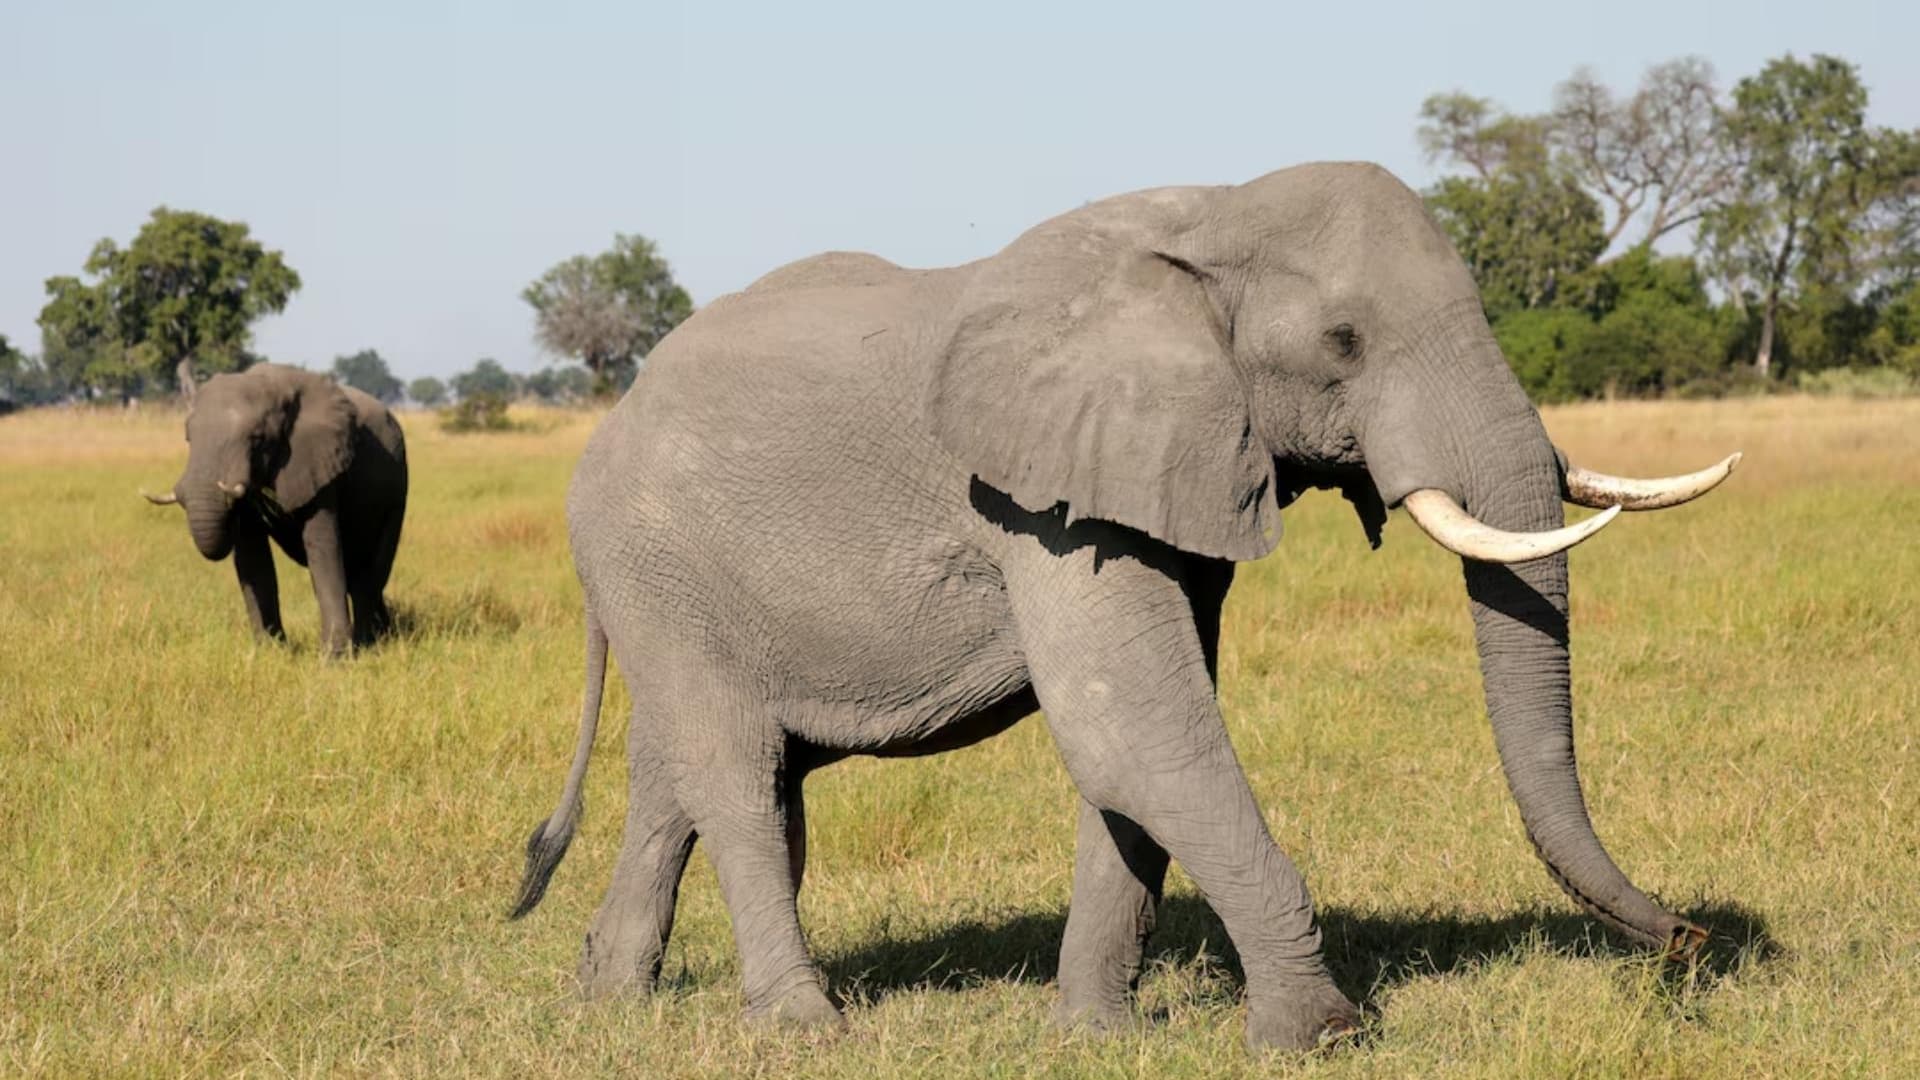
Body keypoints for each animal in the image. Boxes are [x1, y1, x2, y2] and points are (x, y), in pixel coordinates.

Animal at [142, 363, 408, 658]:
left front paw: (334, 658)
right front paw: (269, 654)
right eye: (188, 438)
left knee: (371, 572)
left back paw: (371, 643)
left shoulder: (320, 461)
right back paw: (384, 635)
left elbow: (323, 549)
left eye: (257, 439)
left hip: (397, 491)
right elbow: (253, 558)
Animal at [508, 162, 1740, 1051]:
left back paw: (609, 1002)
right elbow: (1134, 729)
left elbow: (1141, 750)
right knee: (735, 774)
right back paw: (806, 1032)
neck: (1212, 215)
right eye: (1343, 343)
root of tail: (609, 420)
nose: (1692, 942)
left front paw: (1090, 1036)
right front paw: (1317, 1037)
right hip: (652, 559)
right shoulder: (1041, 500)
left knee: (695, 773)